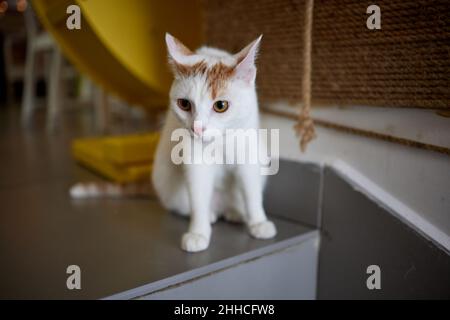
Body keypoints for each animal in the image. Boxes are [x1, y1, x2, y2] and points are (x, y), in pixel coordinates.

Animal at [152, 33, 278, 252]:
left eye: (221, 106)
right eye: (184, 104)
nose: (197, 128)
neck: (220, 142)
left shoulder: (248, 156)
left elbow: (252, 192)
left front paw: (259, 222)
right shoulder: (195, 162)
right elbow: (199, 198)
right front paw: (198, 233)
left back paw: (237, 213)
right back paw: (211, 215)